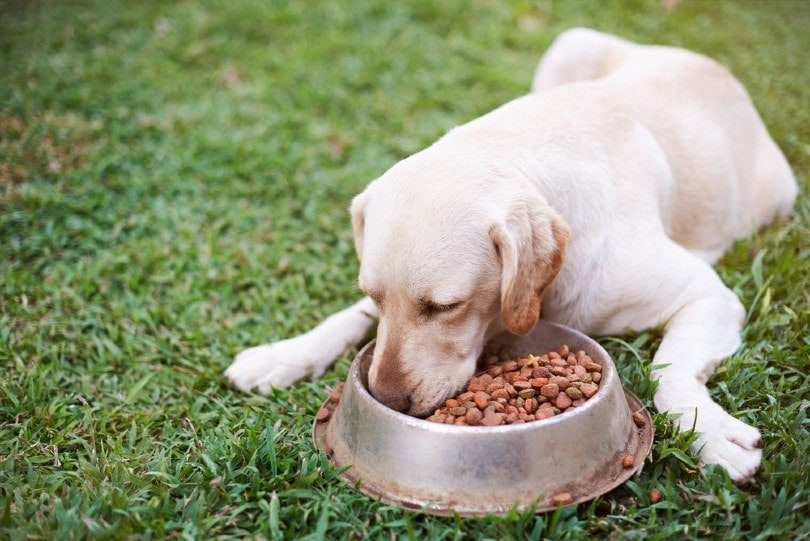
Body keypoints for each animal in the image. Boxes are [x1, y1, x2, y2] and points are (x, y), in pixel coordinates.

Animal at [226, 27, 796, 480]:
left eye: (446, 307)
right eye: (375, 294)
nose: (387, 402)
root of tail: (713, 64)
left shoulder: (709, 295)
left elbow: (669, 371)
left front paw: (711, 433)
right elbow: (346, 318)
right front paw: (283, 354)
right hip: (571, 43)